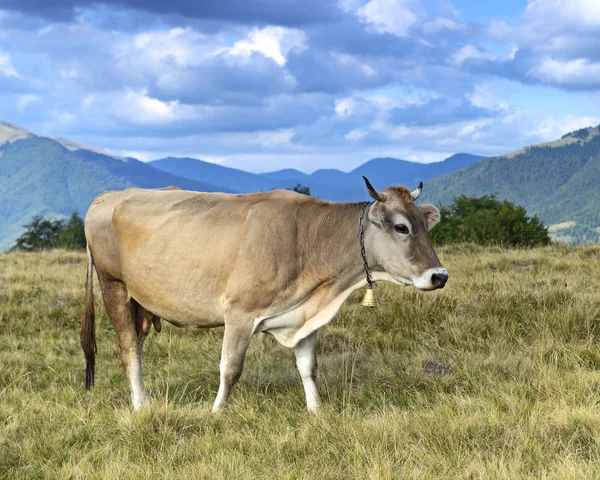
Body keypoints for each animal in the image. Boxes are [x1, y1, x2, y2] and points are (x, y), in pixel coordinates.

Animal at [81, 178, 446, 410]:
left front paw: (317, 411)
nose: (439, 275)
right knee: (128, 349)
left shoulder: (304, 312)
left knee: (138, 345)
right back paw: (140, 405)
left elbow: (308, 367)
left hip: (141, 302)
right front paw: (216, 412)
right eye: (401, 227)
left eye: (425, 226)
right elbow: (230, 368)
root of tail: (109, 196)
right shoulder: (240, 313)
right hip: (114, 285)